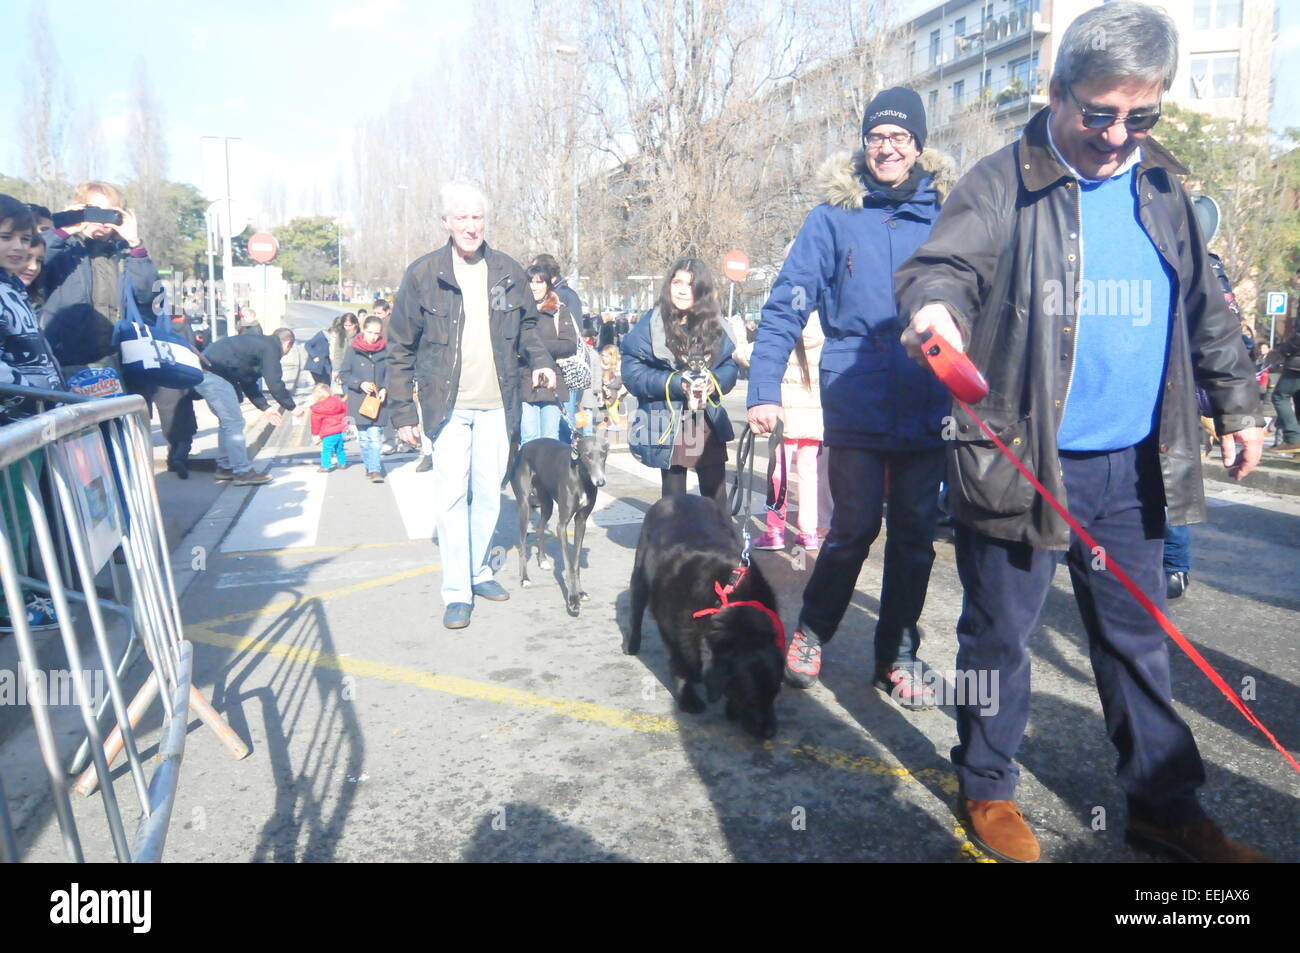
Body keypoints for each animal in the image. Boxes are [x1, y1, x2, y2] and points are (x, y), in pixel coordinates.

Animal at [626, 494, 780, 738]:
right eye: (752, 699)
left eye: (774, 695)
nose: (770, 733)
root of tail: (678, 495)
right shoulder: (673, 630)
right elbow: (680, 665)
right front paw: (687, 697)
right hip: (640, 573)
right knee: (636, 608)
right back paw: (632, 643)